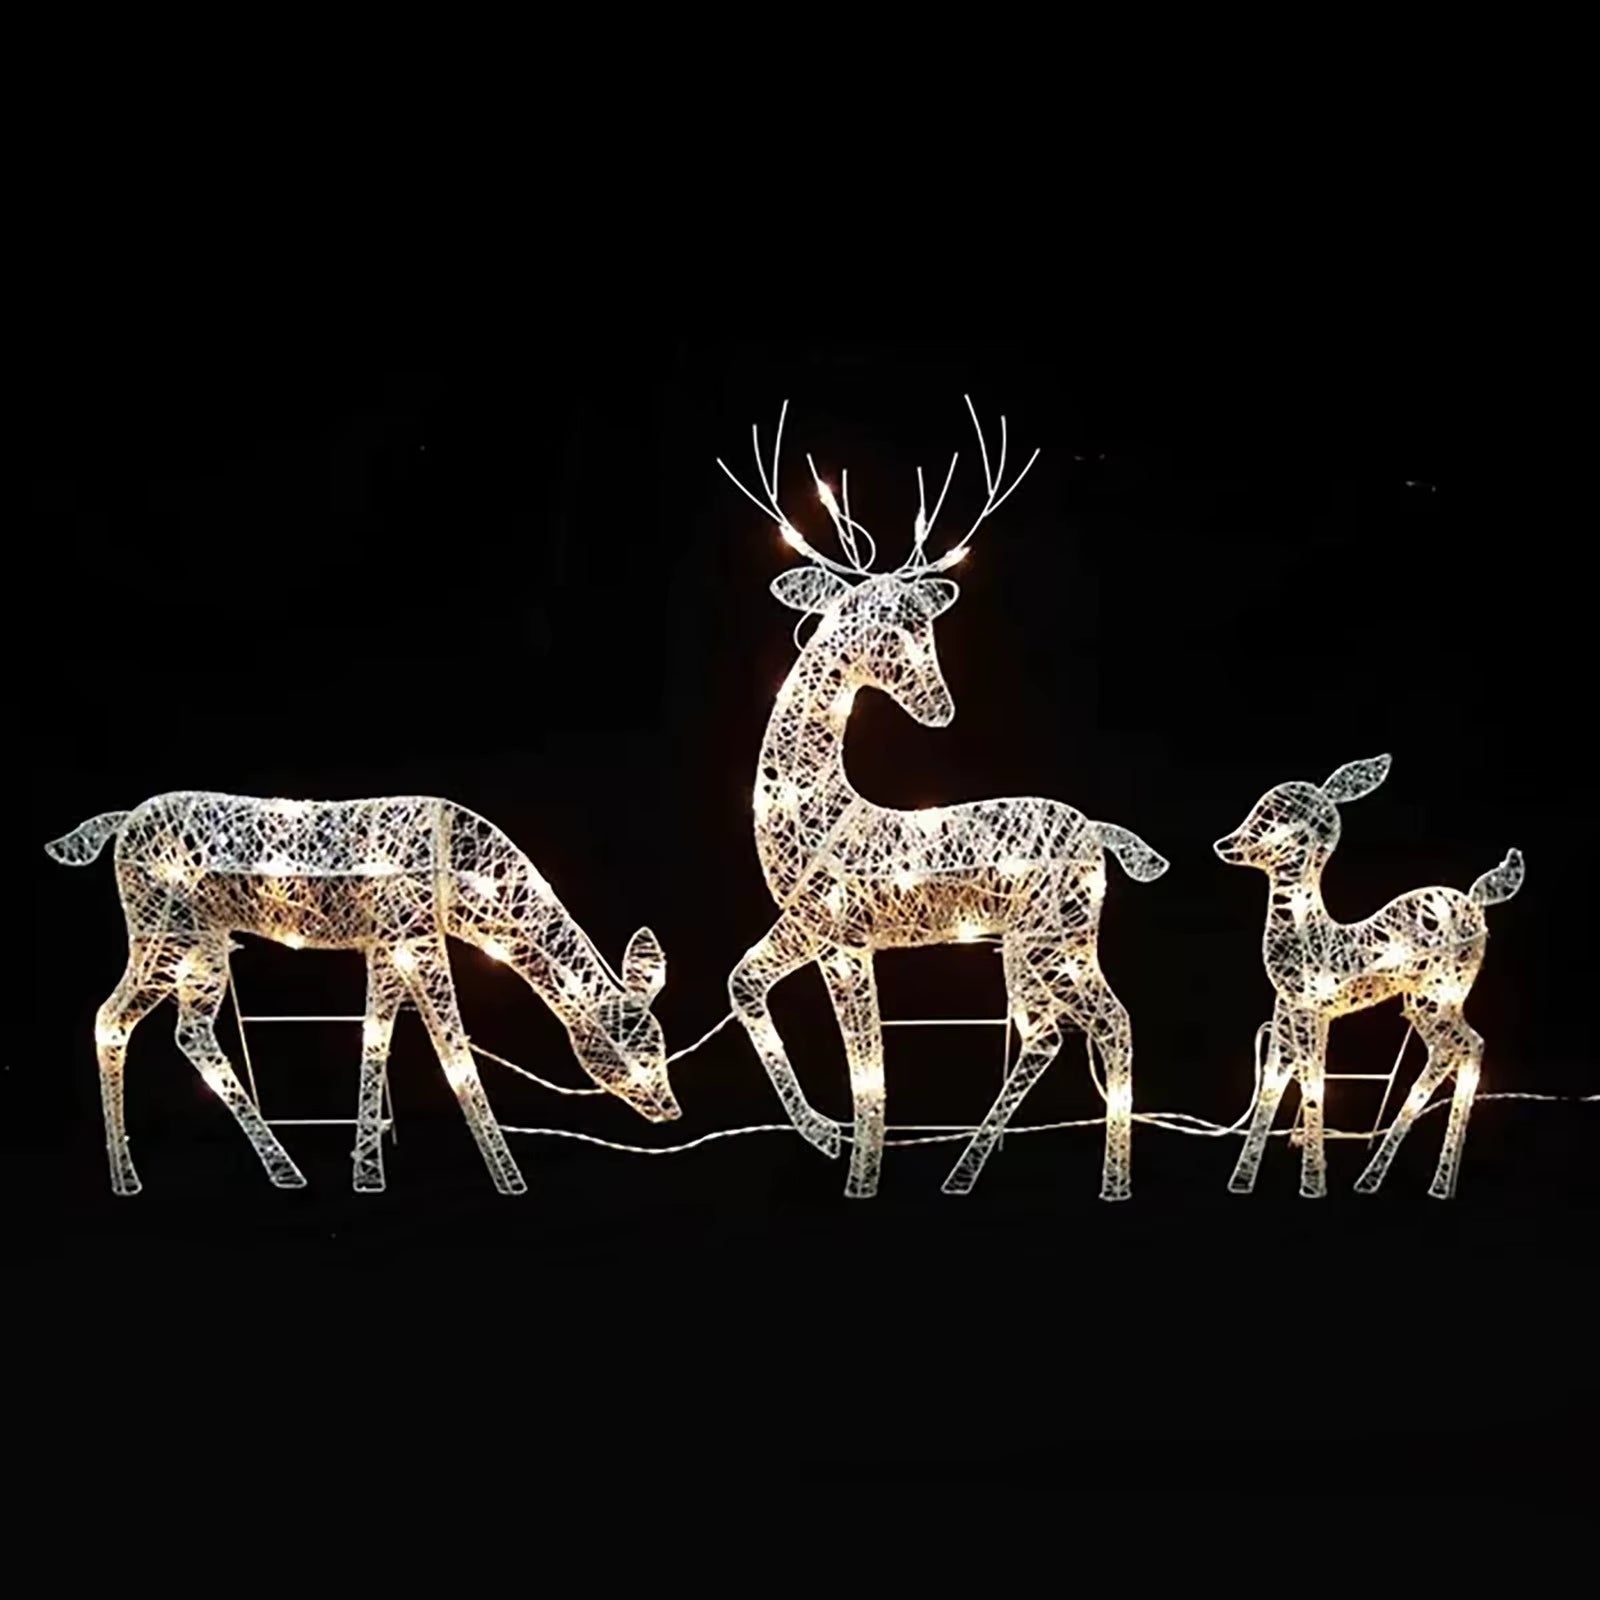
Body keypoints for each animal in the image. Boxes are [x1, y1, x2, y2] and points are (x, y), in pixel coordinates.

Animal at [46, 793, 675, 1195]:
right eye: (625, 1053)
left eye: (660, 1046)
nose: (669, 1109)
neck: (461, 880)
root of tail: (122, 823)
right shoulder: (416, 938)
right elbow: (453, 1050)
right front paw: (510, 1179)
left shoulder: (391, 946)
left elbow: (377, 1039)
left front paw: (367, 1173)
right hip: (165, 931)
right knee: (111, 1017)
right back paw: (129, 1178)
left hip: (203, 946)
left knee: (186, 1029)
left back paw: (279, 1168)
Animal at [717, 398, 1169, 1200]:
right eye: (875, 622)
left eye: (924, 624)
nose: (939, 707)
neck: (818, 812)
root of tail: (1099, 832)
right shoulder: (814, 930)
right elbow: (745, 983)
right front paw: (823, 1135)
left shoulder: (842, 934)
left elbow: (871, 1079)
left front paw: (858, 1175)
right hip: (1026, 945)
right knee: (1048, 1035)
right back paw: (963, 1173)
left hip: (1059, 937)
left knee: (1111, 1022)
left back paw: (1111, 1182)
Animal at [1213, 754, 1523, 1199]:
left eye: (1274, 817)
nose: (1226, 844)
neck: (1308, 930)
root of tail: (1477, 901)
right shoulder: (1287, 1009)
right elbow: (1275, 1082)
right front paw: (1242, 1180)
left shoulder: (1314, 1011)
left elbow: (1312, 1081)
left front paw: (1313, 1182)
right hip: (1428, 1002)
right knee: (1454, 1050)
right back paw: (1389, 1178)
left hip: (1438, 996)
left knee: (1466, 1047)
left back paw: (1426, 1182)